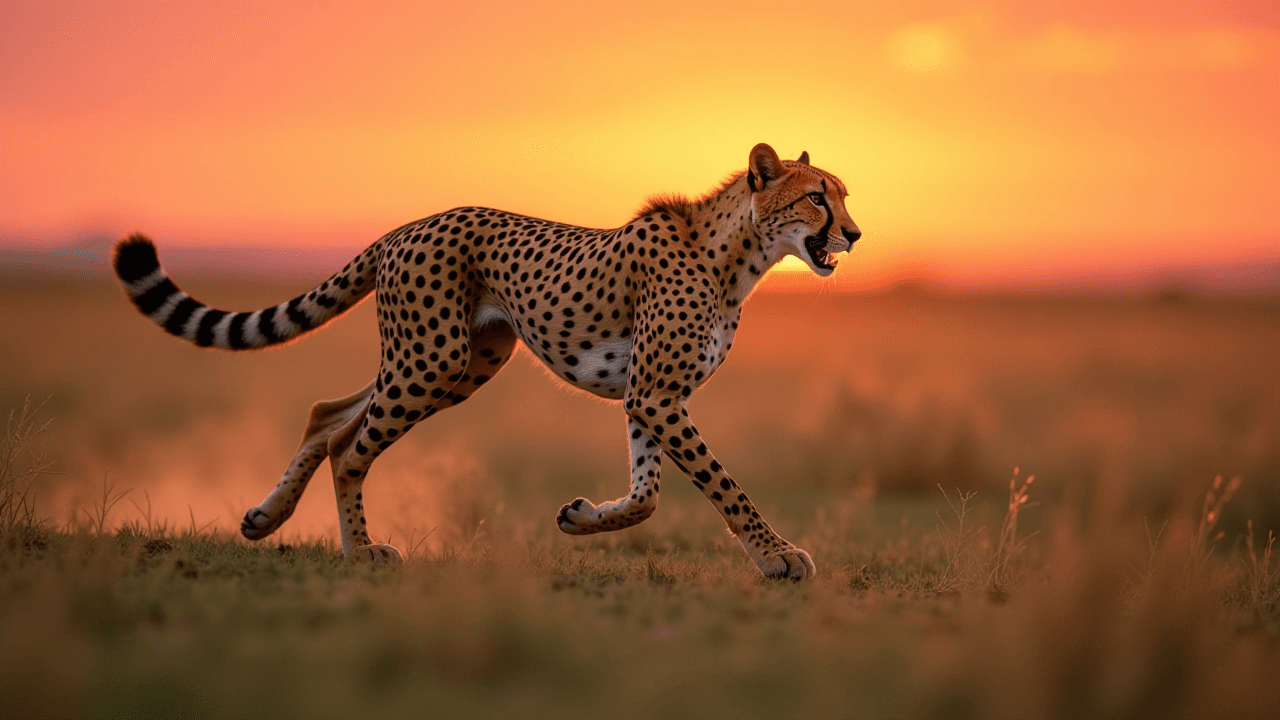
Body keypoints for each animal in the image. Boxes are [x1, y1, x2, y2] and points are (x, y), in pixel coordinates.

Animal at [112, 143, 861, 580]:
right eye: (815, 196)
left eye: (843, 194)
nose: (854, 233)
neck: (738, 255)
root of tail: (407, 226)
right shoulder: (655, 395)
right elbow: (721, 484)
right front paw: (778, 556)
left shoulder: (649, 395)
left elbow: (647, 496)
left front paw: (581, 517)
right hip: (431, 359)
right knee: (349, 445)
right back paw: (360, 554)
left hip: (458, 363)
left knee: (328, 415)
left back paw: (266, 519)